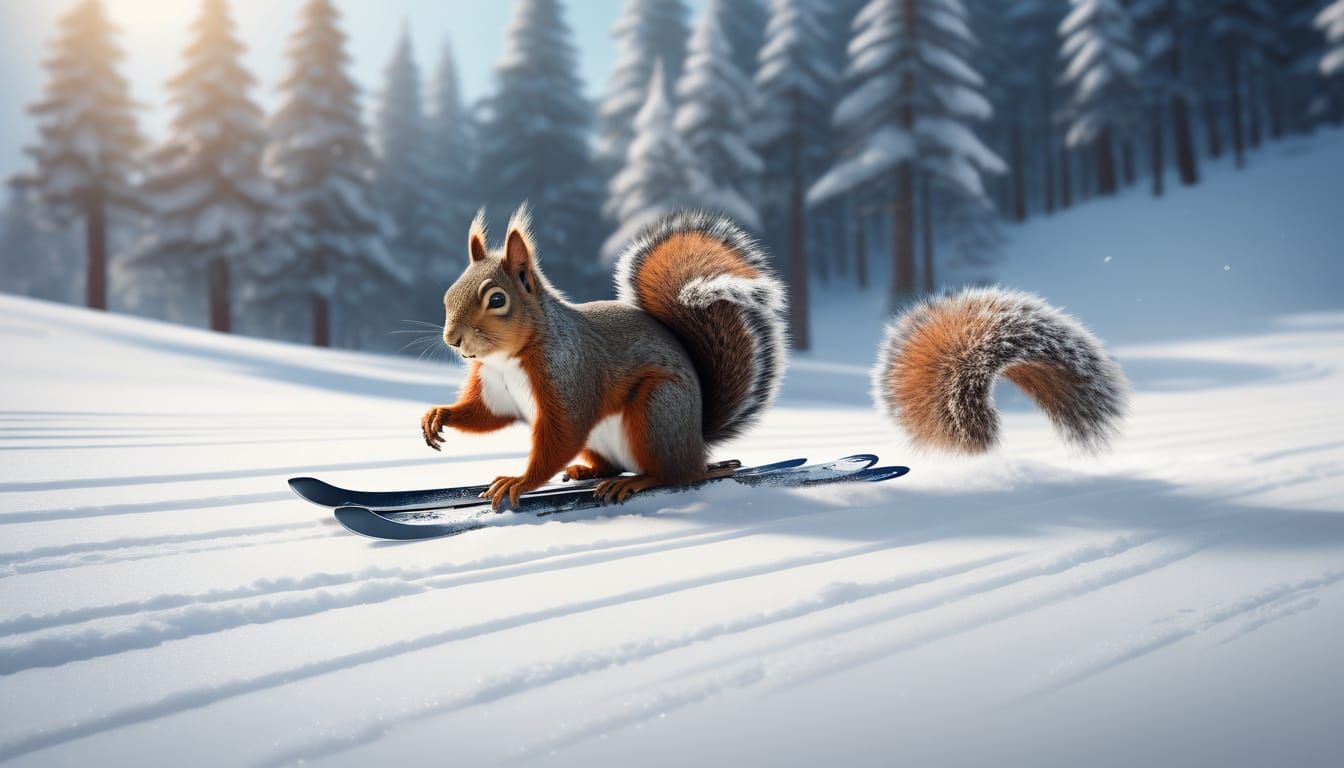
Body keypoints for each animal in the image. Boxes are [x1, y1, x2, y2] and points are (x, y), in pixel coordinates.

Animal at [422, 204, 1127, 509]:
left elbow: (555, 433)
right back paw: (590, 473)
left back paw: (635, 481)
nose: (453, 341)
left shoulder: (569, 380)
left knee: (679, 475)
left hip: (655, 410)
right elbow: (486, 415)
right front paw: (437, 419)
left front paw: (518, 482)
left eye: (496, 298)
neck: (515, 357)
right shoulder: (497, 388)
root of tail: (698, 439)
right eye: (450, 290)